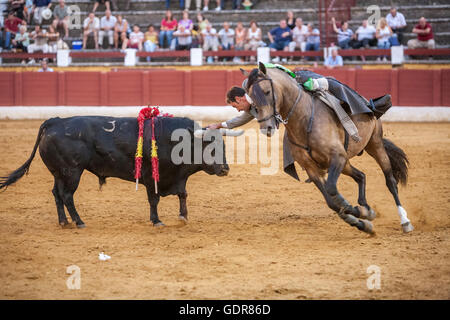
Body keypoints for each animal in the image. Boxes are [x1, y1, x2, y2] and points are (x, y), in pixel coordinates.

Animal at [0, 115, 232, 228]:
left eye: (223, 146)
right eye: (210, 146)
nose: (225, 169)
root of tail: (54, 122)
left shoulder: (177, 176)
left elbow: (183, 194)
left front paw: (183, 216)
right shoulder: (151, 177)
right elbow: (154, 199)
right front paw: (156, 220)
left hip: (60, 173)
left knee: (57, 194)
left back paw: (64, 221)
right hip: (71, 172)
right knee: (67, 195)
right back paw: (79, 222)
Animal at [244, 62, 414, 234]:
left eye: (267, 91)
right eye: (251, 97)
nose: (267, 128)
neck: (304, 118)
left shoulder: (337, 157)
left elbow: (332, 190)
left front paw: (355, 211)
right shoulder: (312, 168)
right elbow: (331, 201)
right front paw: (361, 220)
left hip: (375, 144)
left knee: (390, 181)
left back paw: (404, 221)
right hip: (346, 163)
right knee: (361, 176)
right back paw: (366, 207)